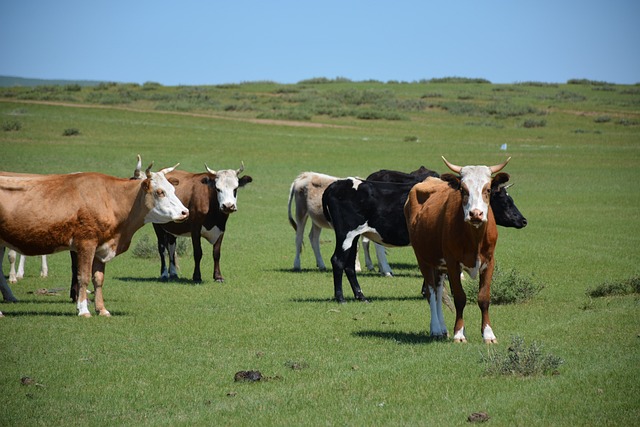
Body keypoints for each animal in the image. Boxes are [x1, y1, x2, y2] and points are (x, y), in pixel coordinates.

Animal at [0, 164, 190, 318]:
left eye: (173, 190)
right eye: (160, 192)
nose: (185, 212)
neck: (110, 198)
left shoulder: (101, 248)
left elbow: (98, 279)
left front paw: (102, 309)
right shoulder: (86, 243)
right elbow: (83, 277)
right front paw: (83, 310)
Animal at [322, 165, 528, 304]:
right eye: (504, 200)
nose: (523, 220)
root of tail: (337, 184)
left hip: (354, 236)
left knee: (349, 265)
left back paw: (361, 296)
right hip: (346, 234)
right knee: (338, 261)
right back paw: (340, 298)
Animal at [404, 157, 510, 344]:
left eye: (488, 189)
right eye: (463, 189)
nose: (476, 214)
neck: (474, 237)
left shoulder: (489, 262)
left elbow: (484, 298)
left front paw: (488, 334)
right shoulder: (453, 264)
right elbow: (460, 298)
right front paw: (459, 333)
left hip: (439, 265)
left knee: (439, 292)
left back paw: (442, 329)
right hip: (423, 259)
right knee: (431, 292)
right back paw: (436, 328)